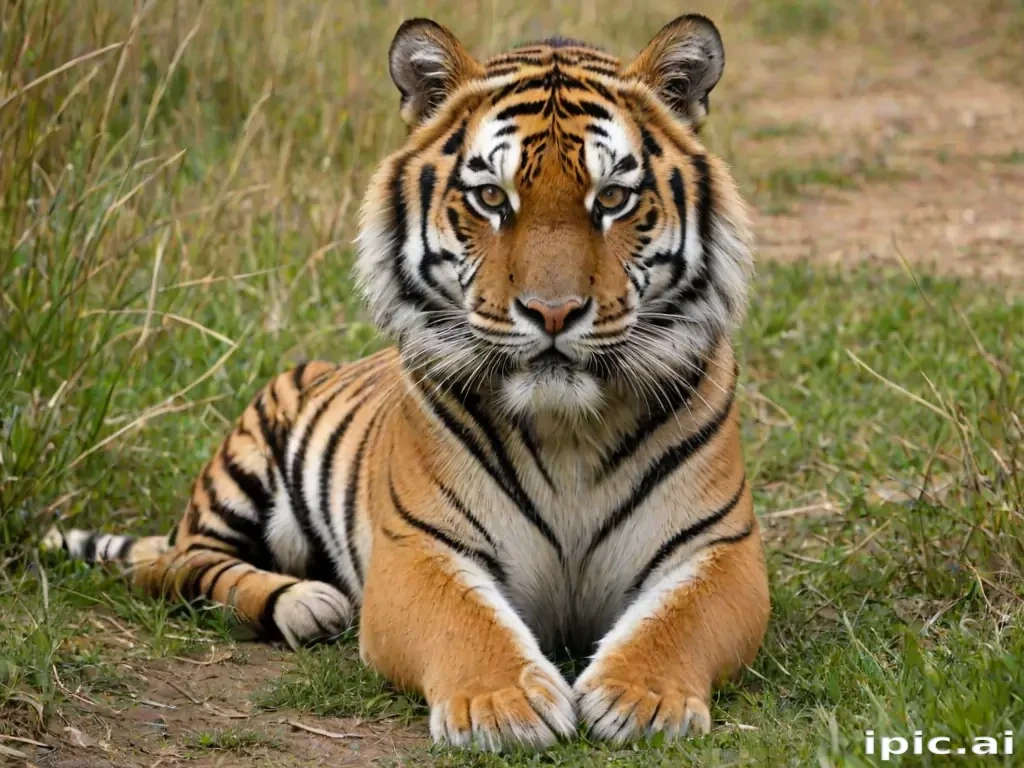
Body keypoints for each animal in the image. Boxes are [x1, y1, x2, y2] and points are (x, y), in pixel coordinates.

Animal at [45, 13, 770, 751]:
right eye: (491, 198)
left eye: (614, 199)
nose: (553, 312)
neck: (567, 428)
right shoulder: (416, 547)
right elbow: (467, 622)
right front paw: (502, 706)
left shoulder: (720, 548)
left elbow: (677, 621)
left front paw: (641, 699)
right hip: (243, 465)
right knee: (175, 564)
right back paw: (304, 601)